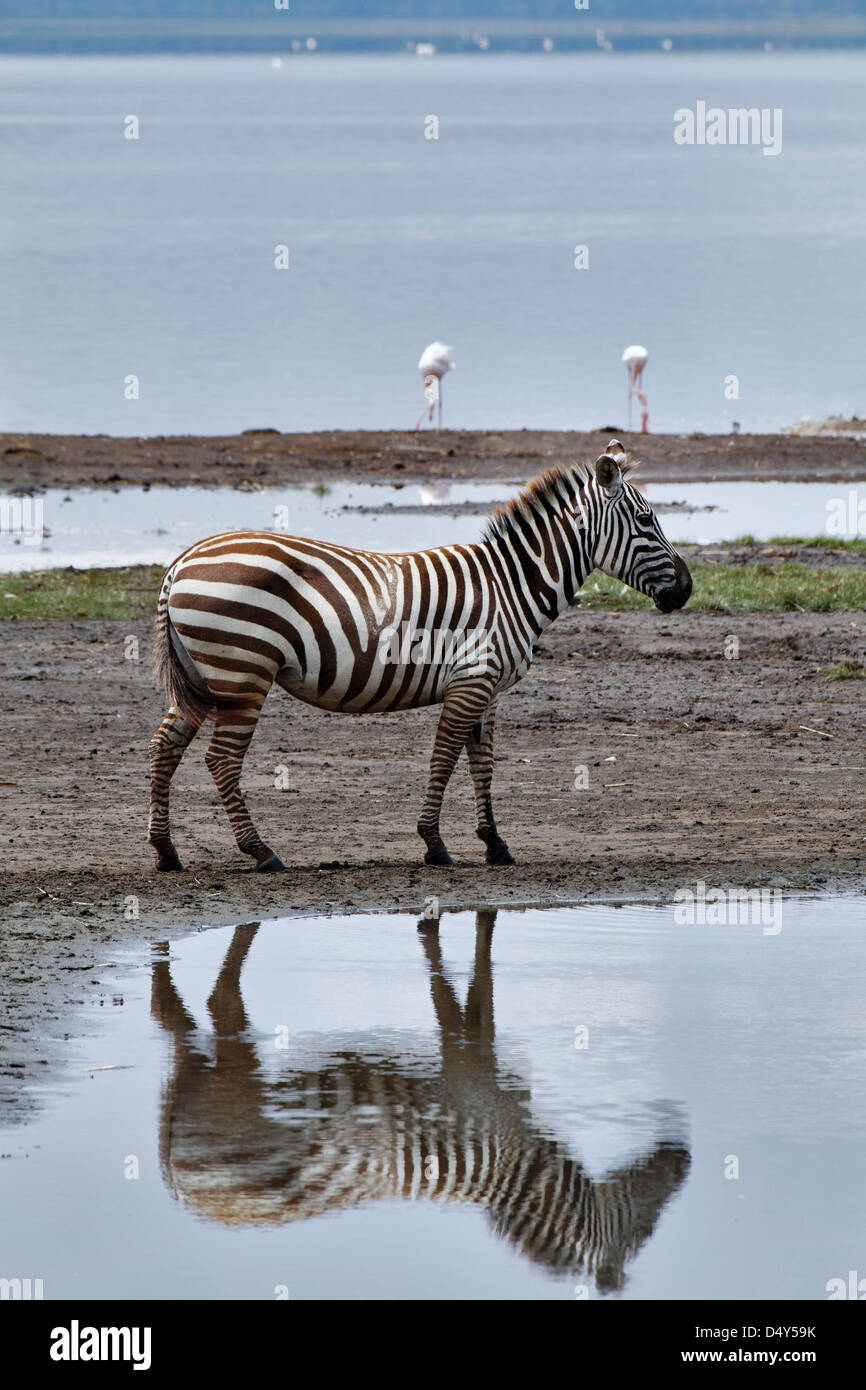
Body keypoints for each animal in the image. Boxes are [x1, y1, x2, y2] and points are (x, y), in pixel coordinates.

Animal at [148, 441, 691, 871]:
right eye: (646, 521)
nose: (686, 590)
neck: (511, 586)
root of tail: (181, 562)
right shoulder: (471, 680)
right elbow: (445, 757)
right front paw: (434, 844)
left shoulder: (489, 689)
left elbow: (482, 763)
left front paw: (494, 844)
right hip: (244, 674)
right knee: (221, 760)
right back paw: (262, 853)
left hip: (205, 678)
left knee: (163, 747)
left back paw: (166, 852)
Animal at [151, 911, 690, 1289]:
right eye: (646, 1227)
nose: (684, 1159)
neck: (523, 1166)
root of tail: (182, 1189)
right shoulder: (474, 1076)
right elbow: (466, 998)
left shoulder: (476, 1074)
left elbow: (469, 996)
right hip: (235, 1092)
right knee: (218, 1011)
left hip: (206, 1083)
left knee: (182, 1026)